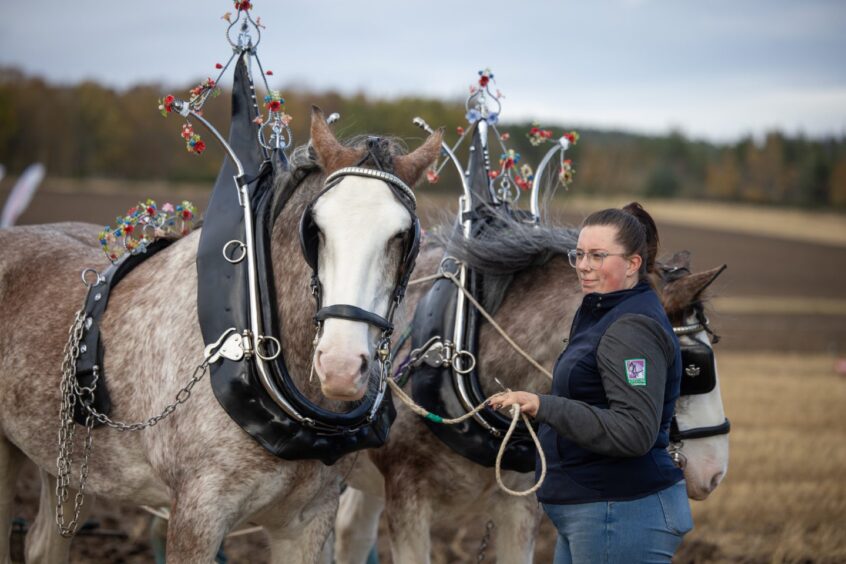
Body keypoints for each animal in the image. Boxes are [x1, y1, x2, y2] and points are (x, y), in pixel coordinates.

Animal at [1, 108, 444, 560]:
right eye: (315, 228)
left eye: (404, 235)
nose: (340, 366)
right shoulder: (196, 515)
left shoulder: (309, 519)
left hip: (67, 462)